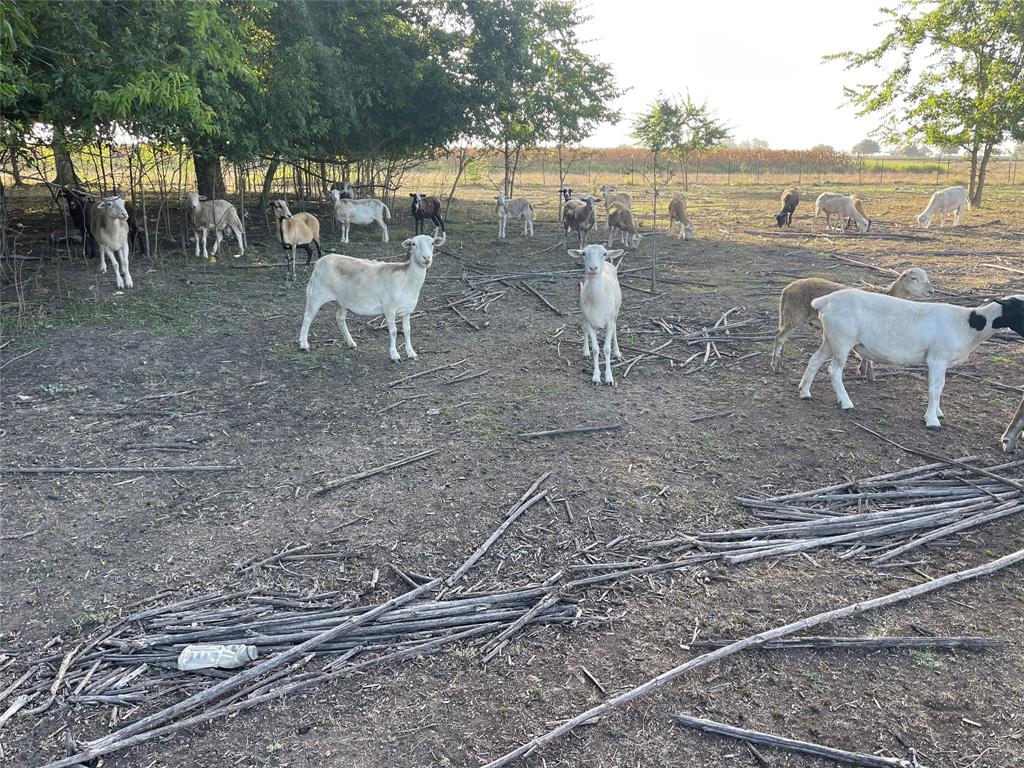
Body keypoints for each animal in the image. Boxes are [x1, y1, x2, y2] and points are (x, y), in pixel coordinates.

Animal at [294, 233, 442, 362]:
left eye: (432, 243)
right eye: (413, 244)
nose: (426, 258)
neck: (406, 279)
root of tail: (319, 262)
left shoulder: (406, 311)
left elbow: (407, 330)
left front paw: (411, 353)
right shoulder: (389, 308)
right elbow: (394, 331)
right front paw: (394, 355)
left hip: (343, 300)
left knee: (340, 318)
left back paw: (351, 342)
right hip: (316, 293)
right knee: (307, 317)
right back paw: (303, 344)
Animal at [569, 244, 622, 385]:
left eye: (604, 253)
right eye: (583, 254)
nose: (593, 268)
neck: (597, 302)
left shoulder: (609, 321)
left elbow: (606, 349)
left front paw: (609, 378)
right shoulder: (589, 321)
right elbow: (596, 349)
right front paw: (596, 377)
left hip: (616, 311)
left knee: (616, 327)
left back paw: (617, 353)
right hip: (583, 312)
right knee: (583, 327)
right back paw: (585, 351)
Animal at [798, 290, 1024, 430]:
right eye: (1021, 310)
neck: (969, 324)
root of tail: (824, 301)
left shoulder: (941, 361)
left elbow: (940, 387)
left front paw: (937, 412)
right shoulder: (937, 358)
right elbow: (935, 388)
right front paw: (932, 421)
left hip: (830, 338)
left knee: (814, 360)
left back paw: (805, 392)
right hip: (843, 339)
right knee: (834, 371)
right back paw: (846, 403)